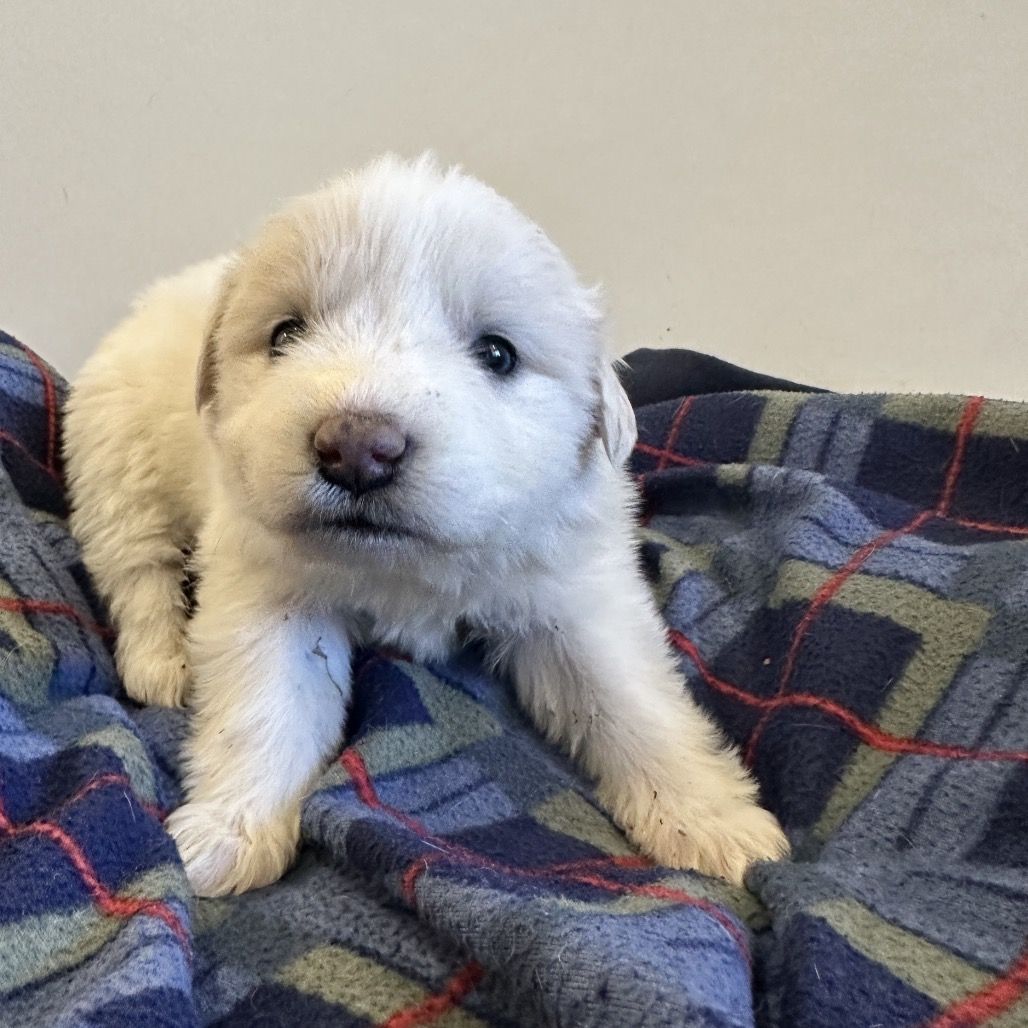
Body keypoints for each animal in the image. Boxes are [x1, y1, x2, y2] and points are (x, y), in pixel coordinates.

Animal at [63, 155, 788, 896]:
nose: (357, 448)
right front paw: (227, 834)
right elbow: (266, 707)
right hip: (114, 461)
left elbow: (633, 701)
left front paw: (713, 824)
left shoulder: (577, 595)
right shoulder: (268, 594)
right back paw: (165, 663)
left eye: (497, 354)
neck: (407, 566)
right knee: (136, 571)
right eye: (286, 333)